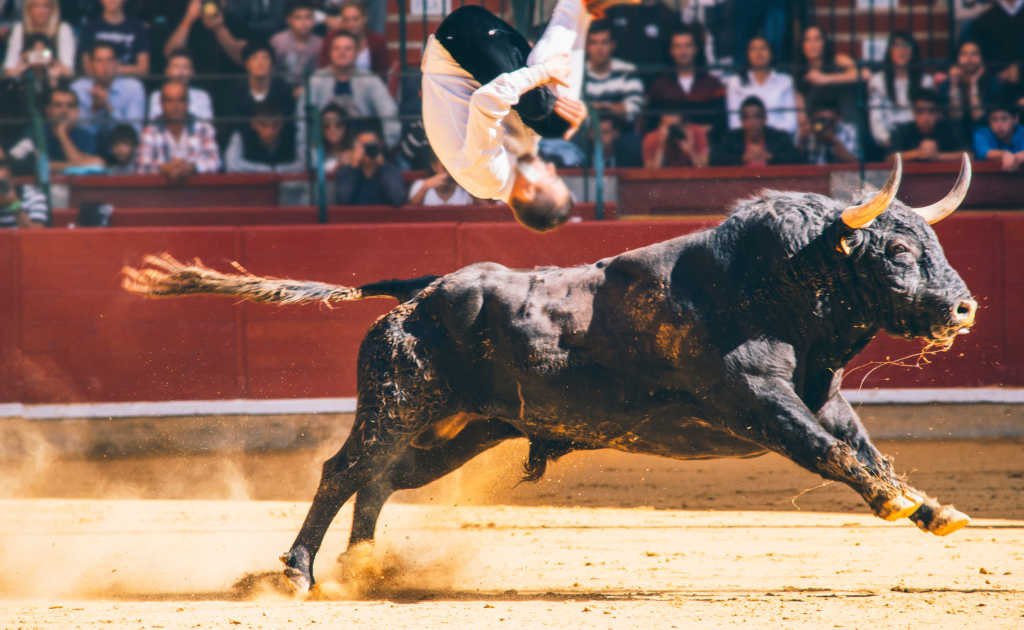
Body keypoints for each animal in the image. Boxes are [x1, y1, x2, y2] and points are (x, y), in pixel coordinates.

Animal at [123, 155, 978, 594]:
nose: (965, 307)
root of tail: (420, 292)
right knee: (343, 470)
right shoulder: (757, 402)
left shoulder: (819, 397)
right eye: (899, 251)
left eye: (930, 244)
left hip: (457, 430)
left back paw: (363, 567)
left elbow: (862, 448)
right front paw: (900, 504)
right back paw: (298, 573)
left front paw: (932, 508)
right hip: (395, 402)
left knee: (381, 477)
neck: (769, 287)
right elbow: (830, 454)